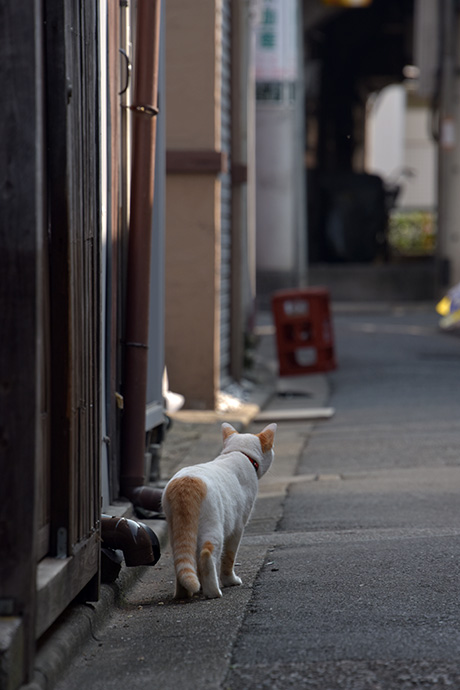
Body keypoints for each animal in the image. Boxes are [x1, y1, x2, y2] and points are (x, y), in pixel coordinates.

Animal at [163, 420, 276, 596]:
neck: (239, 452)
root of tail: (187, 483)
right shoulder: (238, 528)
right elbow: (229, 558)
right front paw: (230, 581)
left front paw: (199, 584)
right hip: (214, 528)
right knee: (207, 554)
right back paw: (213, 592)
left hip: (175, 530)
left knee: (181, 560)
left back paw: (183, 593)